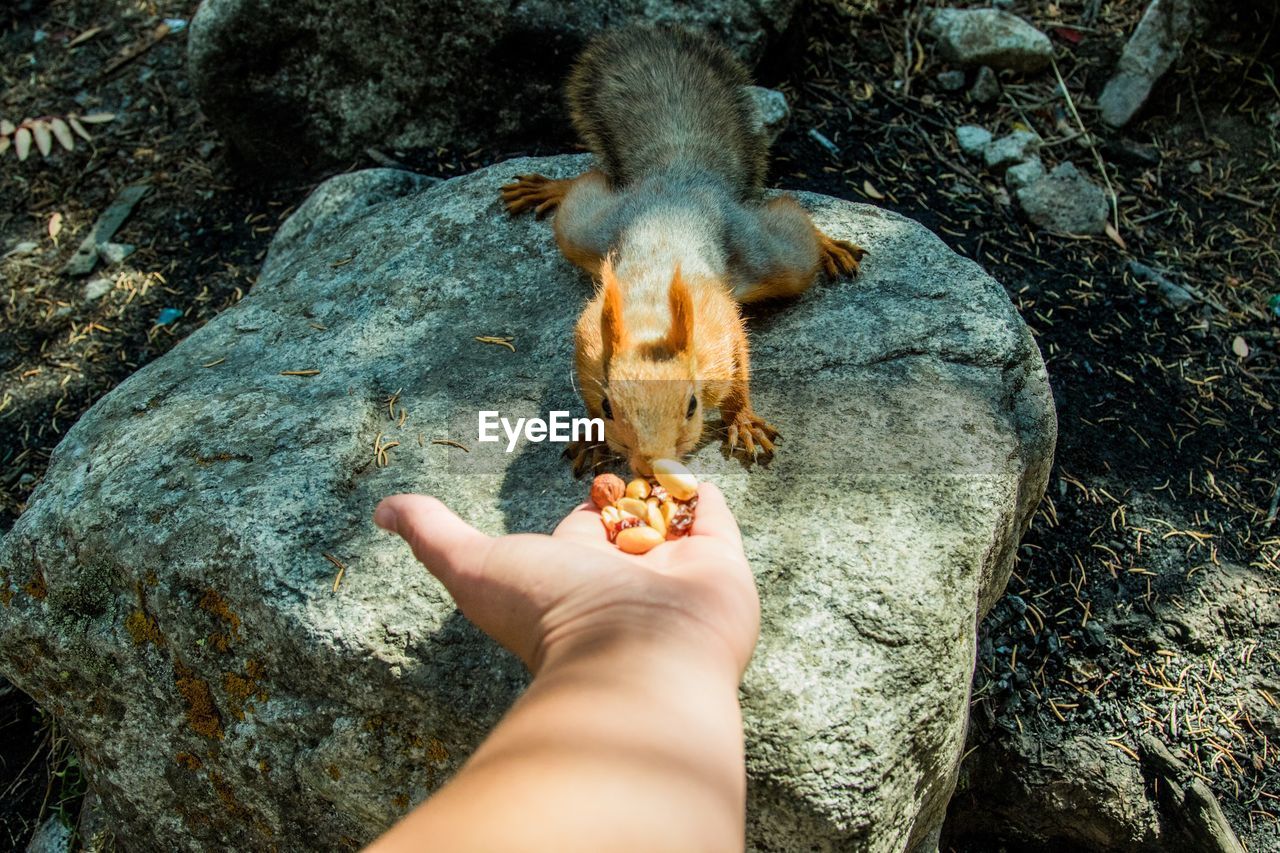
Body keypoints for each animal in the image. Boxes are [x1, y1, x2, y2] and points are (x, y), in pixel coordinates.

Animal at [499, 28, 860, 479]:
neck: (649, 320)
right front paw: (593, 436)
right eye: (608, 408)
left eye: (692, 406)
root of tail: (681, 175)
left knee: (791, 219)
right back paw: (551, 188)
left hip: (769, 256)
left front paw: (742, 421)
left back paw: (830, 246)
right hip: (586, 231)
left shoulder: (722, 332)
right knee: (588, 186)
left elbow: (740, 371)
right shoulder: (587, 348)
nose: (651, 466)